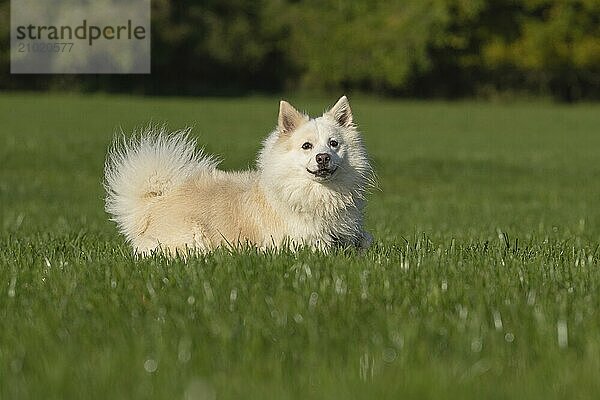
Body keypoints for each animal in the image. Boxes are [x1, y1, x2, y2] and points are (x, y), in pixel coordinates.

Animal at [105, 95, 372, 255]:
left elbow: (363, 241)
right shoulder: (297, 242)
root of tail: (155, 204)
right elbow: (321, 248)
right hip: (193, 238)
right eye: (307, 146)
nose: (323, 157)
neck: (318, 194)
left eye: (333, 144)